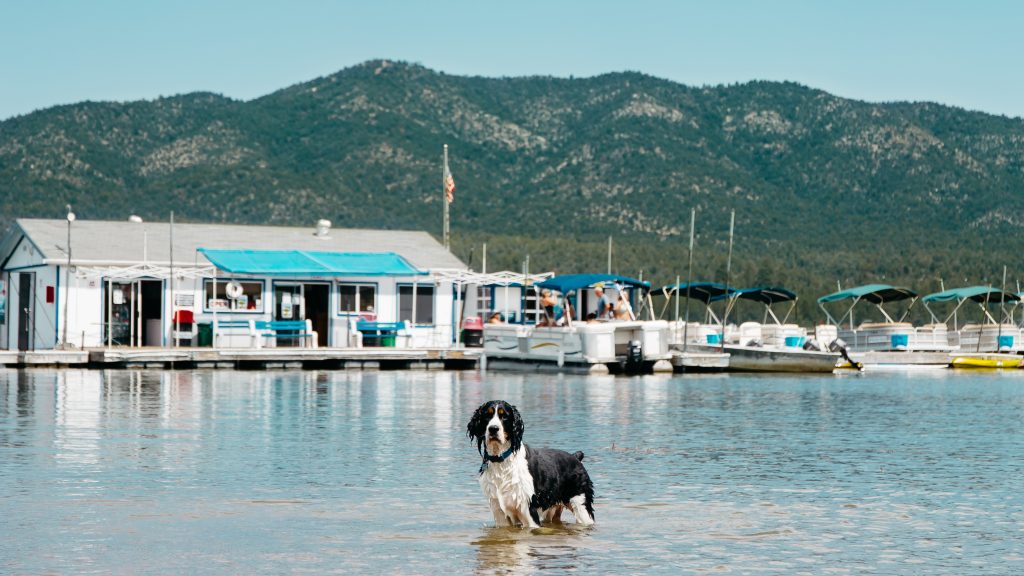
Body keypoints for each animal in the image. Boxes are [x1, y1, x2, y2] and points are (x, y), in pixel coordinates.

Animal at [468, 399, 598, 524]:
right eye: (487, 415)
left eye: (504, 416)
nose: (493, 429)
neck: (501, 460)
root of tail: (575, 457)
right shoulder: (499, 511)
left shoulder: (528, 508)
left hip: (581, 506)